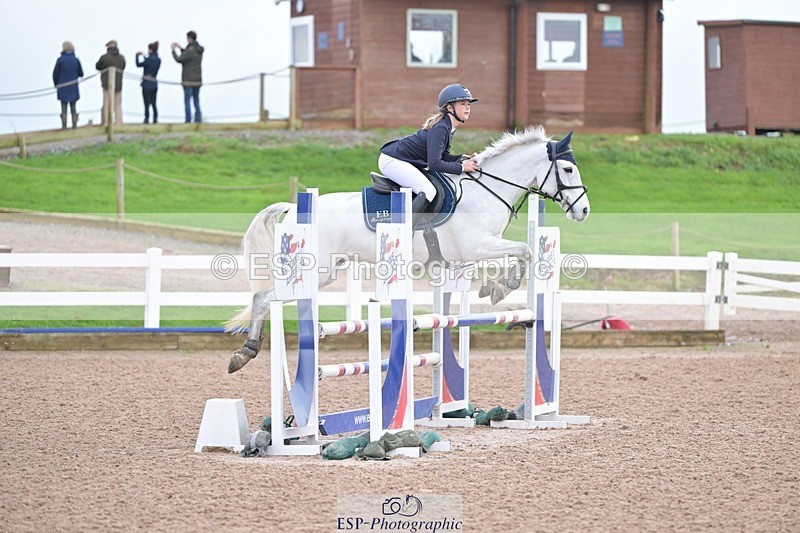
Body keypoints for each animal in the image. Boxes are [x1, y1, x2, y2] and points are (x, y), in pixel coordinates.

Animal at [226, 125, 589, 373]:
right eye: (568, 169)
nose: (584, 211)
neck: (486, 191)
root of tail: (293, 207)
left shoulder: (468, 256)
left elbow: (518, 254)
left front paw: (494, 287)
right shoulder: (477, 246)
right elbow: (525, 250)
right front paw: (503, 286)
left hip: (325, 271)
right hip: (317, 270)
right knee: (263, 299)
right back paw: (244, 353)